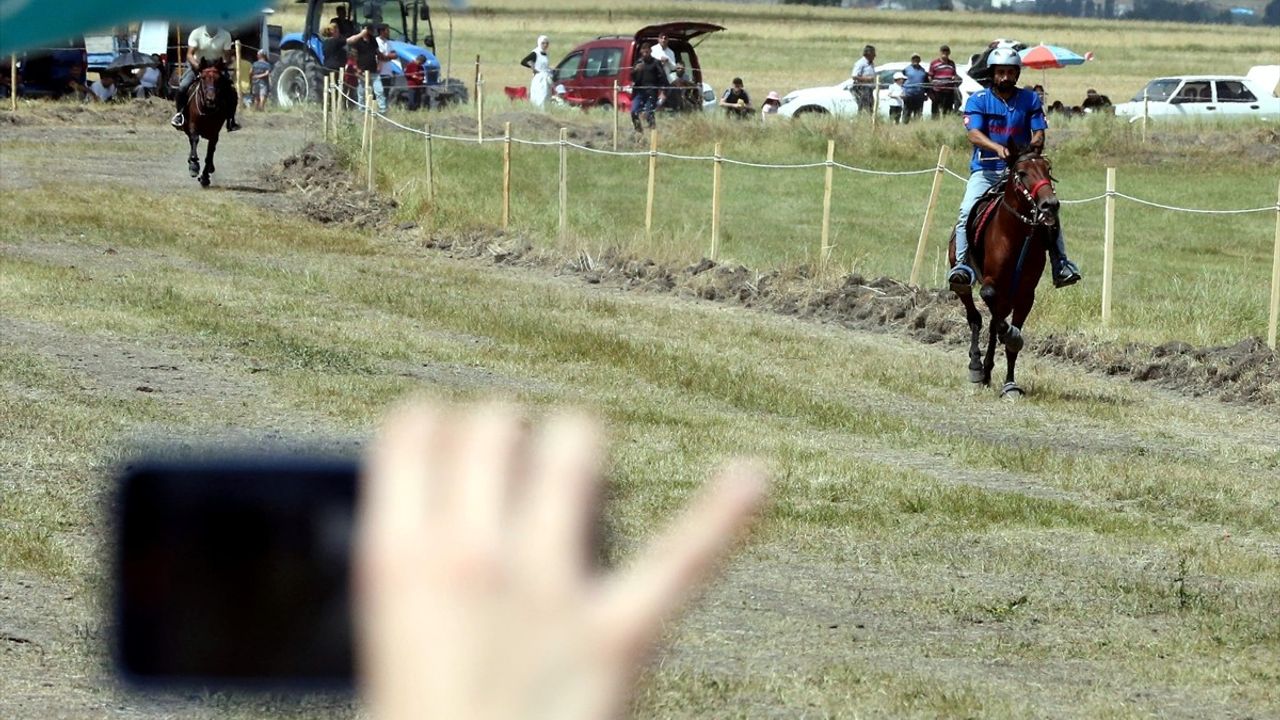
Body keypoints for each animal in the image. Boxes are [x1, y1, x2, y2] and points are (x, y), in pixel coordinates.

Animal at [952, 144, 1059, 397]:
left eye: (1047, 169)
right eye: (1021, 172)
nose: (1050, 204)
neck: (1016, 234)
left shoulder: (1024, 295)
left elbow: (1011, 341)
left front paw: (1010, 384)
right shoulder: (992, 286)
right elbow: (996, 318)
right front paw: (1009, 336)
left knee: (992, 324)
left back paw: (988, 372)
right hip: (963, 285)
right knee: (975, 318)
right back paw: (976, 367)